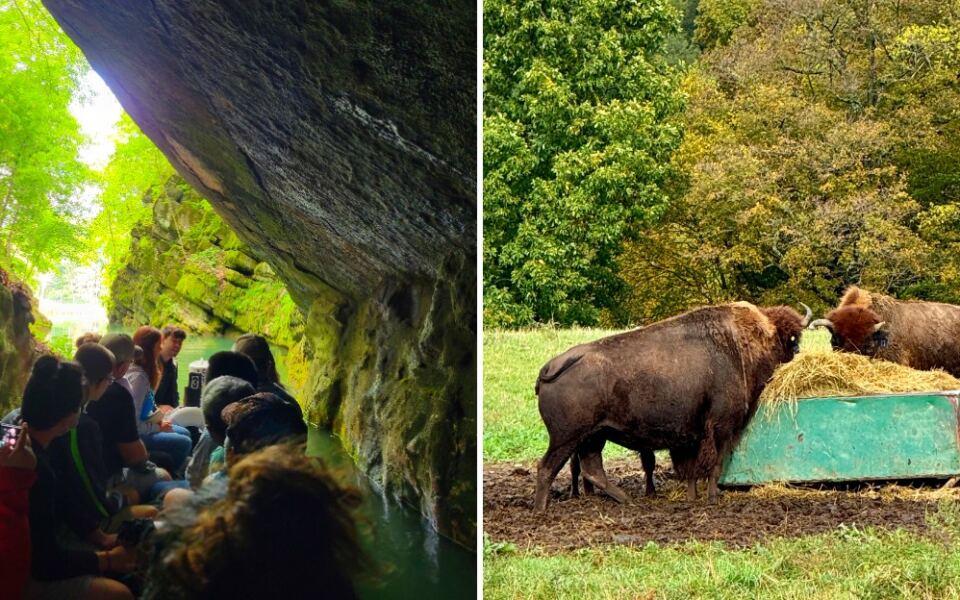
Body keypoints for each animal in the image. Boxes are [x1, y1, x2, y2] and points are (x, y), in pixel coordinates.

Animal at [534, 302, 809, 511]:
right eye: (790, 340)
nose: (797, 352)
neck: (740, 345)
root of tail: (551, 366)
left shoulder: (690, 437)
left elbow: (691, 469)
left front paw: (692, 497)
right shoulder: (721, 427)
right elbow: (715, 464)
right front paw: (712, 497)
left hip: (593, 436)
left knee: (592, 468)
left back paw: (627, 500)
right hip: (566, 438)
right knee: (547, 467)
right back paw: (541, 510)